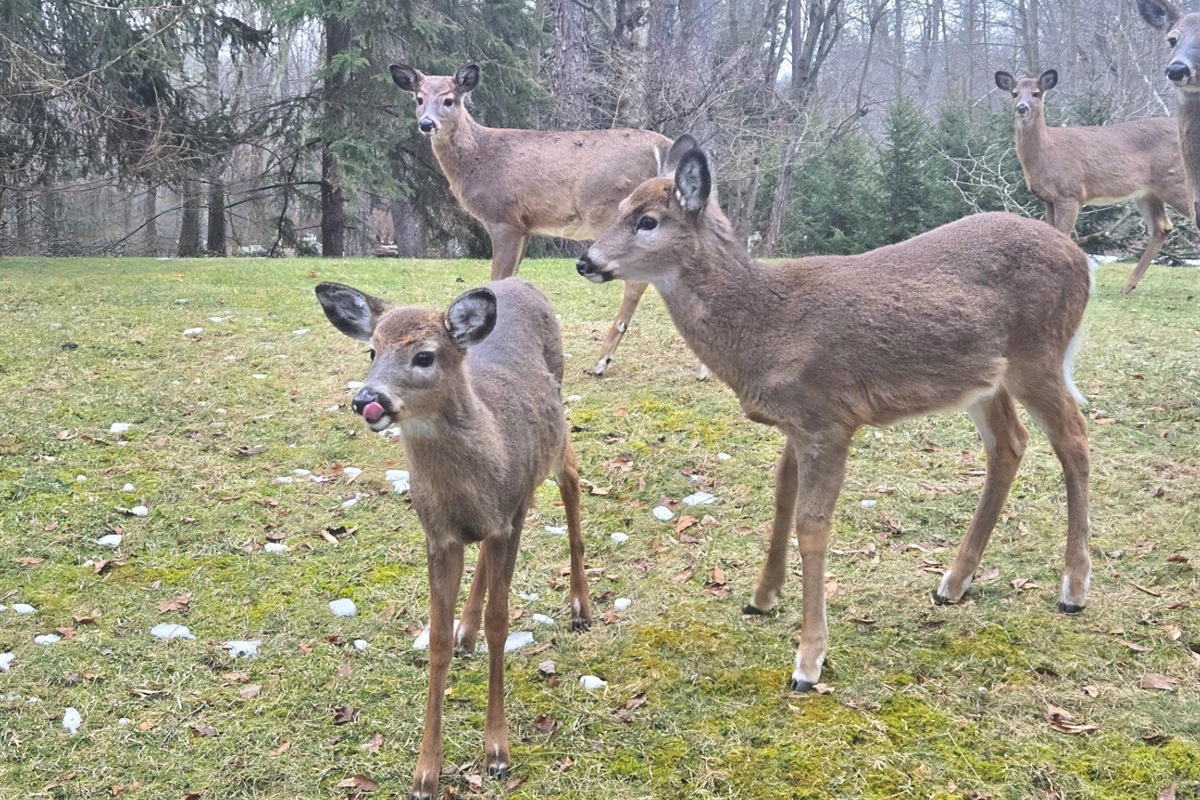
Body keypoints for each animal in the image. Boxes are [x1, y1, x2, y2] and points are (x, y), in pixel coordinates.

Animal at [315, 278, 592, 798]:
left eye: (424, 356)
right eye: (372, 350)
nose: (366, 400)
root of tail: (519, 281)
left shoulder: (510, 519)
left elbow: (501, 624)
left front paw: (497, 751)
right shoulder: (438, 535)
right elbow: (437, 639)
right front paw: (426, 772)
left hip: (556, 433)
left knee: (571, 480)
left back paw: (581, 607)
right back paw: (468, 630)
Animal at [390, 62, 690, 377]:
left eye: (449, 100)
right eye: (418, 98)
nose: (427, 123)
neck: (478, 159)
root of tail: (664, 147)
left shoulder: (503, 218)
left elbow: (498, 278)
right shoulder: (525, 227)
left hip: (610, 211)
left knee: (636, 282)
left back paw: (601, 361)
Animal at [576, 138, 1093, 691]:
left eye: (647, 220)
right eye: (621, 205)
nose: (585, 261)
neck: (767, 326)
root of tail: (1083, 261)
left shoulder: (829, 418)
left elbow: (812, 524)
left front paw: (808, 660)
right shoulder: (795, 421)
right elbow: (782, 495)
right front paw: (762, 596)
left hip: (1038, 354)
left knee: (1075, 439)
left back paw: (1073, 588)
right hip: (983, 379)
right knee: (1010, 444)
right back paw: (954, 582)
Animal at [995, 68, 1192, 295]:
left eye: (1036, 93)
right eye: (1014, 93)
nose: (1022, 107)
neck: (1046, 153)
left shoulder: (1070, 192)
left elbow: (1064, 234)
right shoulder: (1048, 198)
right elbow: (1052, 233)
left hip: (1176, 181)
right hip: (1147, 193)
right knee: (1162, 227)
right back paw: (1128, 285)